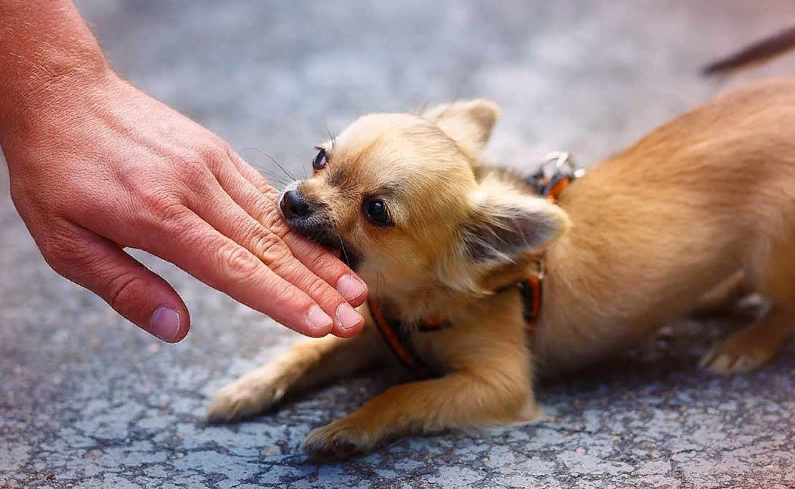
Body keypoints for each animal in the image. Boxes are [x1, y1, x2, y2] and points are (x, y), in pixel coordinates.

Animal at [208, 74, 795, 456]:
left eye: (376, 212)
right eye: (319, 158)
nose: (292, 201)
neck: (414, 300)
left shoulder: (499, 385)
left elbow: (405, 392)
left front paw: (348, 428)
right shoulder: (376, 333)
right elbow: (309, 351)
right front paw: (247, 389)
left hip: (769, 251)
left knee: (783, 303)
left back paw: (746, 343)